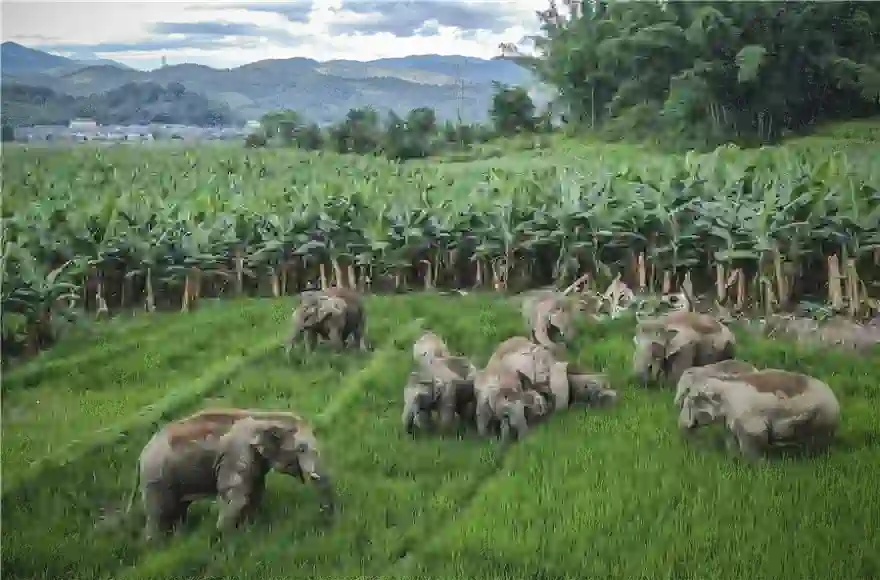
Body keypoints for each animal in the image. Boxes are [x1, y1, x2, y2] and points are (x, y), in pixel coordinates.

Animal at [122, 408, 332, 540]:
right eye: (302, 449)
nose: (324, 514)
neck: (263, 416)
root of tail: (140, 457)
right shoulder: (236, 454)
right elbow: (237, 497)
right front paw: (228, 537)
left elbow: (255, 491)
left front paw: (250, 527)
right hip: (156, 479)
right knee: (161, 514)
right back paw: (156, 545)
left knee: (177, 511)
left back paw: (178, 538)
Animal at [676, 370, 844, 460]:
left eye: (691, 402)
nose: (684, 427)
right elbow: (731, 437)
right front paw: (733, 458)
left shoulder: (748, 417)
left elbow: (752, 442)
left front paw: (754, 465)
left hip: (822, 418)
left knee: (817, 441)